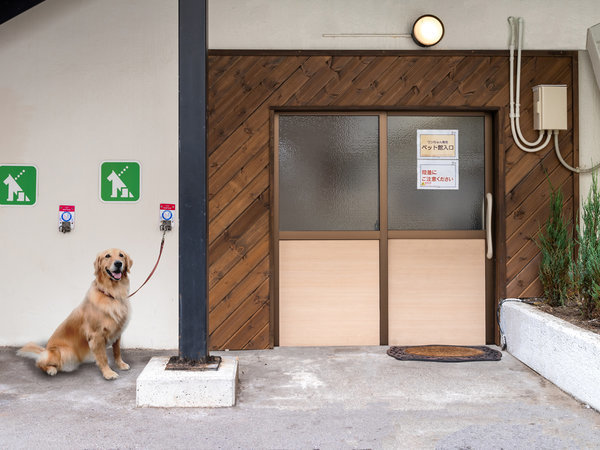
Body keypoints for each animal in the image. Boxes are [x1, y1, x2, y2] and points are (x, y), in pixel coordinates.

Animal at [17, 250, 132, 380]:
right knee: (40, 362)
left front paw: (121, 364)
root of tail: (45, 350)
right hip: (66, 352)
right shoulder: (96, 335)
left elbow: (117, 351)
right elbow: (103, 357)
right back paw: (51, 369)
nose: (118, 263)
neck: (111, 293)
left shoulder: (117, 332)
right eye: (107, 256)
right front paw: (108, 373)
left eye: (121, 255)